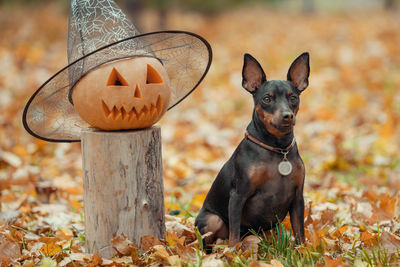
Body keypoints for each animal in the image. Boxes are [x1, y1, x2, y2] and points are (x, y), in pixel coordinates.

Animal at [195, 52, 310, 249]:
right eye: (267, 99)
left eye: (293, 98)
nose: (287, 115)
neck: (278, 149)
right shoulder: (238, 196)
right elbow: (233, 235)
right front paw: (232, 253)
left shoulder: (297, 199)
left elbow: (300, 233)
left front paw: (303, 252)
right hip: (212, 220)